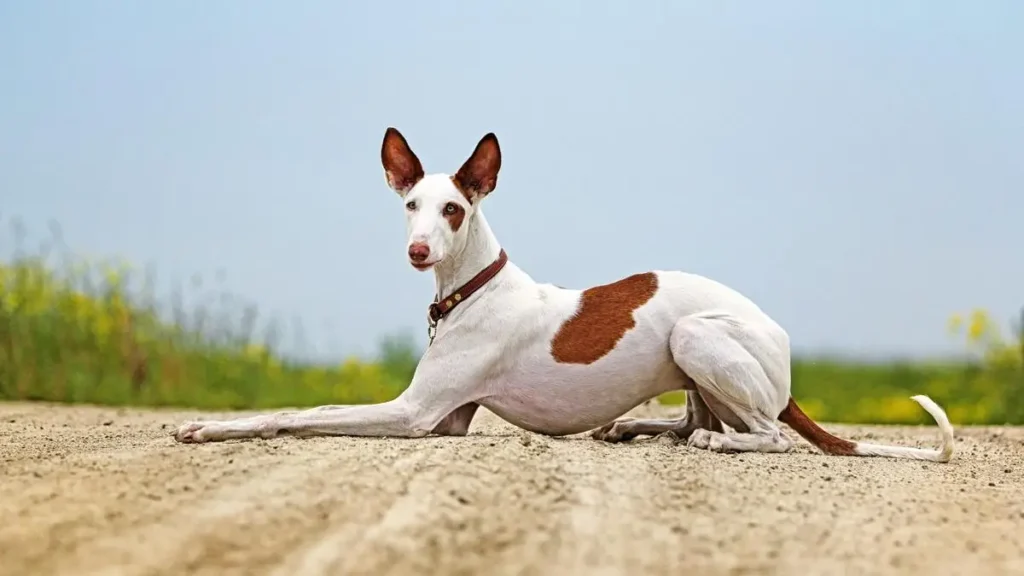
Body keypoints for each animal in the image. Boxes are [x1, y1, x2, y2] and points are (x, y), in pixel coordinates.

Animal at [174, 126, 950, 461]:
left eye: (453, 209)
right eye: (410, 205)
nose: (418, 251)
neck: (473, 289)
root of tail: (782, 351)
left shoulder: (417, 415)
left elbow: (299, 412)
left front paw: (207, 427)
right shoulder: (448, 419)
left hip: (697, 336)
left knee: (764, 437)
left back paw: (717, 443)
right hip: (693, 366)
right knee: (692, 420)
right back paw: (635, 428)